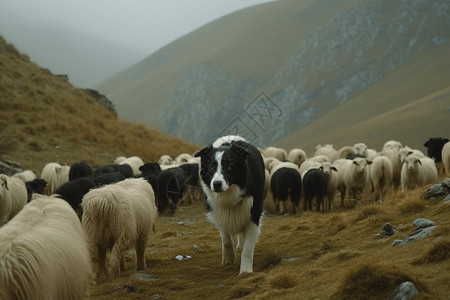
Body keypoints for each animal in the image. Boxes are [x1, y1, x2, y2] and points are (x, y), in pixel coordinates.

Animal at [194, 135, 266, 274]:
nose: (216, 184)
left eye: (229, 166)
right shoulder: (220, 212)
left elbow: (248, 248)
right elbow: (226, 239)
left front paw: (245, 271)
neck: (229, 194)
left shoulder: (253, 213)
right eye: (212, 167)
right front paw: (228, 257)